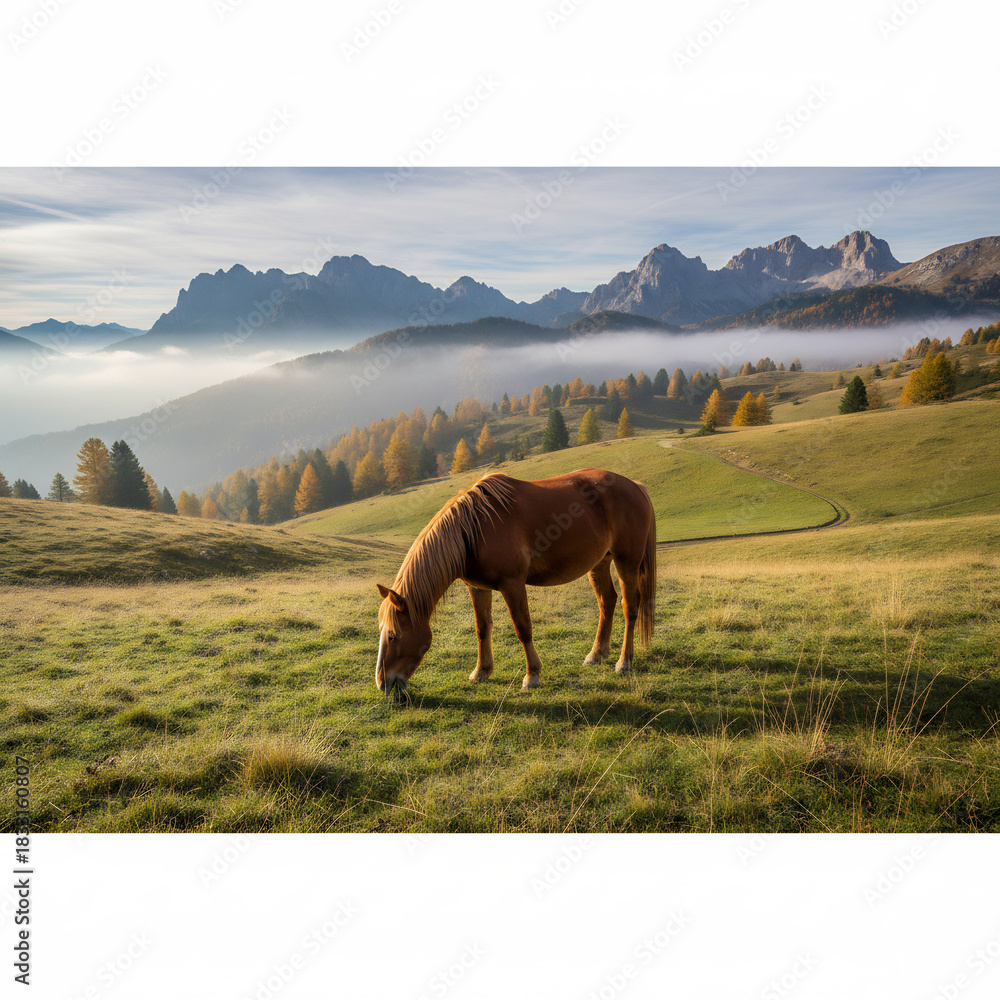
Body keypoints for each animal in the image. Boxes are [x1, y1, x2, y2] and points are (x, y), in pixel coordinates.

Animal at [374, 468, 656, 694]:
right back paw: (597, 654)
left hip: (627, 562)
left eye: (393, 636)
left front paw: (532, 676)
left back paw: (624, 662)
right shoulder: (477, 588)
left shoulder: (513, 585)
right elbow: (482, 628)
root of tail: (635, 486)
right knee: (607, 602)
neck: (473, 531)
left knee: (630, 607)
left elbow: (523, 628)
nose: (382, 683)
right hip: (599, 563)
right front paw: (481, 671)